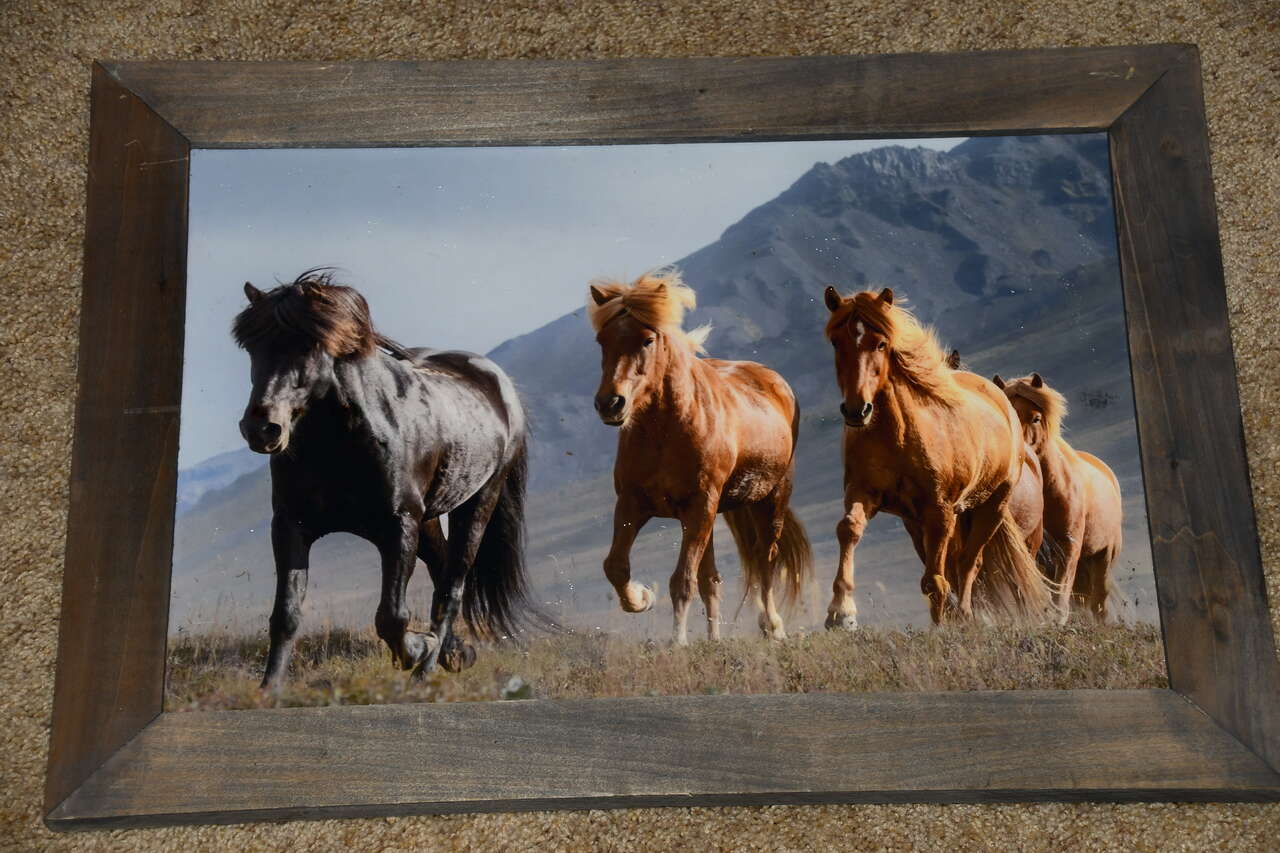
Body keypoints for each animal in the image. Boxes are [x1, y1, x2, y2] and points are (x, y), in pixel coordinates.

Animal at [232, 269, 535, 690]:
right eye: (252, 347)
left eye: (307, 346)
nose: (262, 428)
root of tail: (500, 384)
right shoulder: (291, 525)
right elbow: (286, 614)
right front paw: (269, 690)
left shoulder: (398, 526)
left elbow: (391, 616)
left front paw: (420, 648)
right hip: (429, 520)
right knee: (441, 573)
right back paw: (456, 654)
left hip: (477, 504)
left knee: (452, 589)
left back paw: (426, 671)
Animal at [586, 269, 813, 645]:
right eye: (602, 340)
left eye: (647, 340)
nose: (610, 404)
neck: (665, 431)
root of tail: (774, 381)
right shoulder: (633, 503)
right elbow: (615, 566)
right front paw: (642, 598)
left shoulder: (699, 505)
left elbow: (682, 580)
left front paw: (677, 640)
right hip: (704, 516)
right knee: (713, 579)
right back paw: (714, 638)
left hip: (768, 501)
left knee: (765, 560)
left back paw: (772, 626)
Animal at [822, 286, 1057, 627]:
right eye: (836, 342)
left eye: (881, 343)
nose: (856, 410)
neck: (899, 435)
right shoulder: (864, 493)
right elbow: (848, 529)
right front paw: (841, 612)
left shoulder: (940, 510)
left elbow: (937, 578)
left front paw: (943, 625)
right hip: (921, 521)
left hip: (992, 507)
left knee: (970, 562)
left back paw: (967, 615)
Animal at [993, 373, 1123, 619]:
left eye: (1035, 418)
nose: (1018, 453)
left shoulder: (1068, 546)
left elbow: (1061, 596)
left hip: (1102, 557)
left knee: (1098, 605)